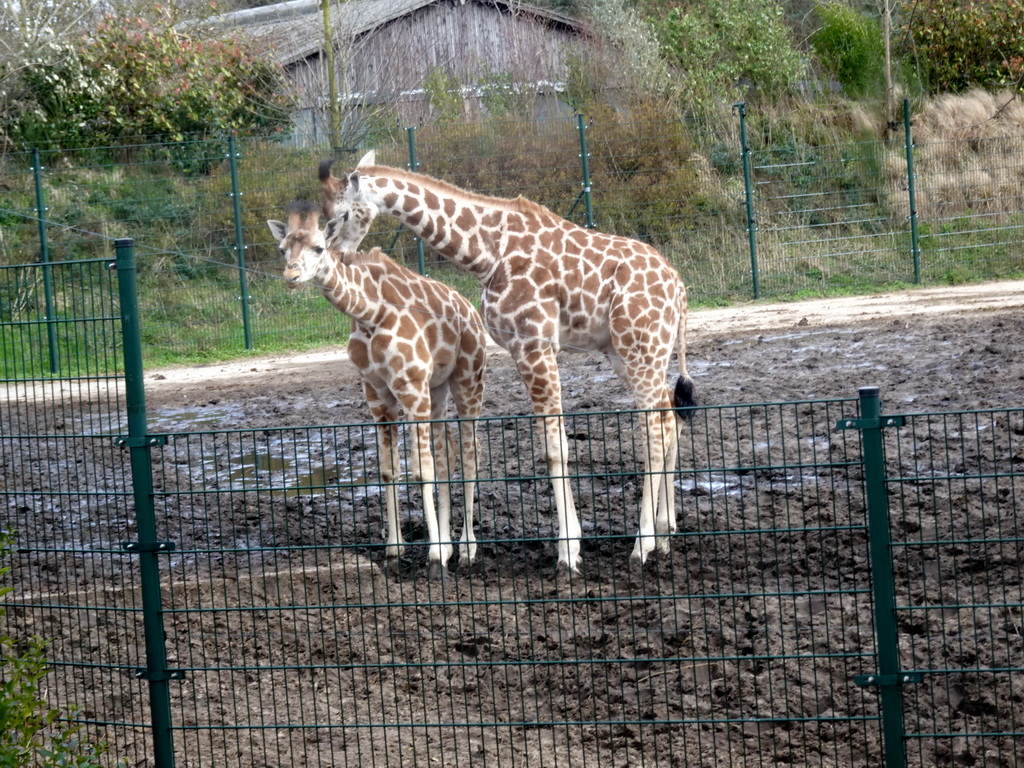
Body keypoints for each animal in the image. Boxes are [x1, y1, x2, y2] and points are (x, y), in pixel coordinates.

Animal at [264, 201, 487, 581]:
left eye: (318, 247)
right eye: (282, 249)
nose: (291, 276)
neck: (370, 314)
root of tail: (470, 309)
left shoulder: (411, 389)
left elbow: (421, 471)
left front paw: (434, 559)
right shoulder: (378, 395)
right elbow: (389, 471)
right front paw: (396, 552)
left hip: (468, 380)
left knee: (471, 456)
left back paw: (469, 551)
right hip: (438, 389)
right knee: (448, 456)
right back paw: (452, 547)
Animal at [317, 153, 696, 577]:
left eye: (340, 215)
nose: (337, 253)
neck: (487, 254)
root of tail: (680, 288)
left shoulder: (535, 344)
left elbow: (554, 450)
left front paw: (568, 554)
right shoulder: (523, 349)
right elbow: (547, 446)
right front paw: (573, 544)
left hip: (640, 347)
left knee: (654, 432)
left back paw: (641, 546)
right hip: (632, 352)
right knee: (668, 416)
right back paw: (664, 535)